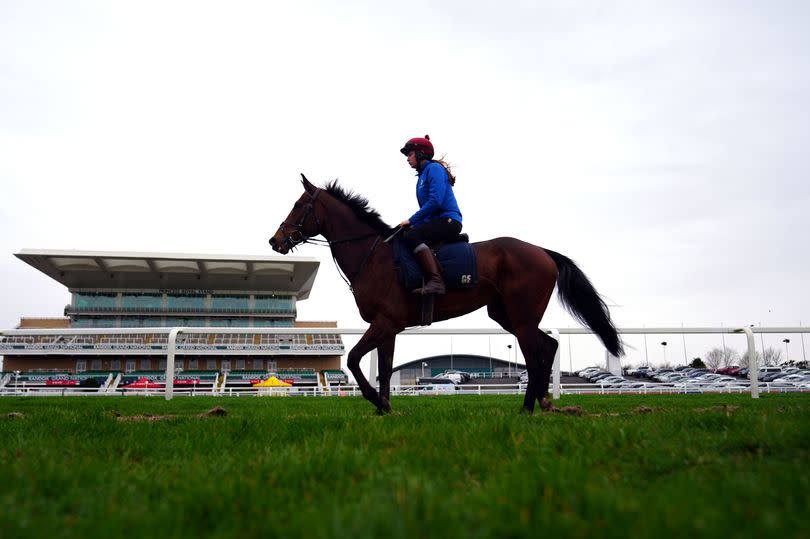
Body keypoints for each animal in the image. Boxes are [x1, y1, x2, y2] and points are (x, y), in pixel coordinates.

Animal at [268, 175, 620, 416]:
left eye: (298, 205)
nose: (275, 240)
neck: (373, 256)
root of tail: (543, 252)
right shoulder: (389, 327)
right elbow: (385, 369)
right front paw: (385, 408)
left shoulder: (384, 322)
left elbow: (354, 359)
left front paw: (374, 400)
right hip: (507, 315)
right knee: (548, 346)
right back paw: (542, 403)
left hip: (521, 319)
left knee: (535, 358)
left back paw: (527, 408)